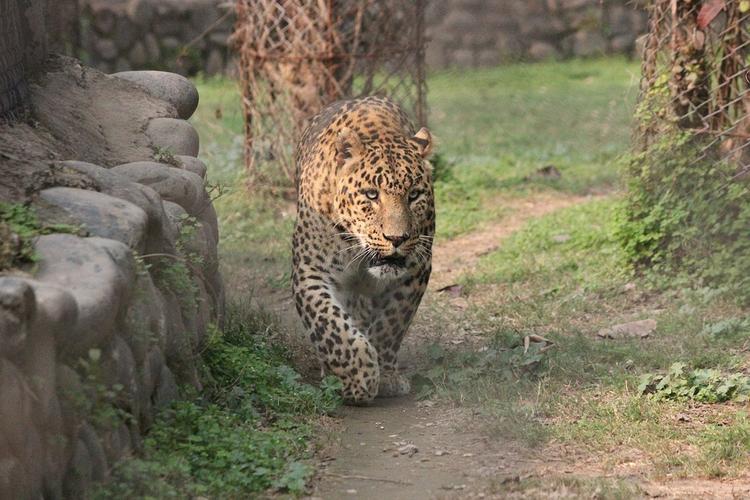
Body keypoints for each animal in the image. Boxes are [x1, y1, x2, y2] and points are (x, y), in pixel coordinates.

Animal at [292, 95, 434, 404]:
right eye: (371, 194)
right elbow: (330, 326)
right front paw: (358, 378)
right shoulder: (310, 271)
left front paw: (386, 374)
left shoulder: (416, 269)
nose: (397, 238)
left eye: (414, 195)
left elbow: (391, 324)